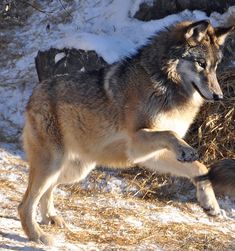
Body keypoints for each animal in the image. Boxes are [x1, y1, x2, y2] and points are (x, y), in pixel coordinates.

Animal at [18, 20, 235, 245]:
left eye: (215, 66)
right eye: (201, 64)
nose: (219, 96)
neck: (164, 85)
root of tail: (35, 92)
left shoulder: (151, 155)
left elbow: (200, 168)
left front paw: (210, 204)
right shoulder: (137, 144)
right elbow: (170, 135)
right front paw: (186, 150)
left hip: (73, 171)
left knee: (48, 191)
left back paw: (50, 218)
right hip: (52, 166)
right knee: (24, 204)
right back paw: (38, 236)